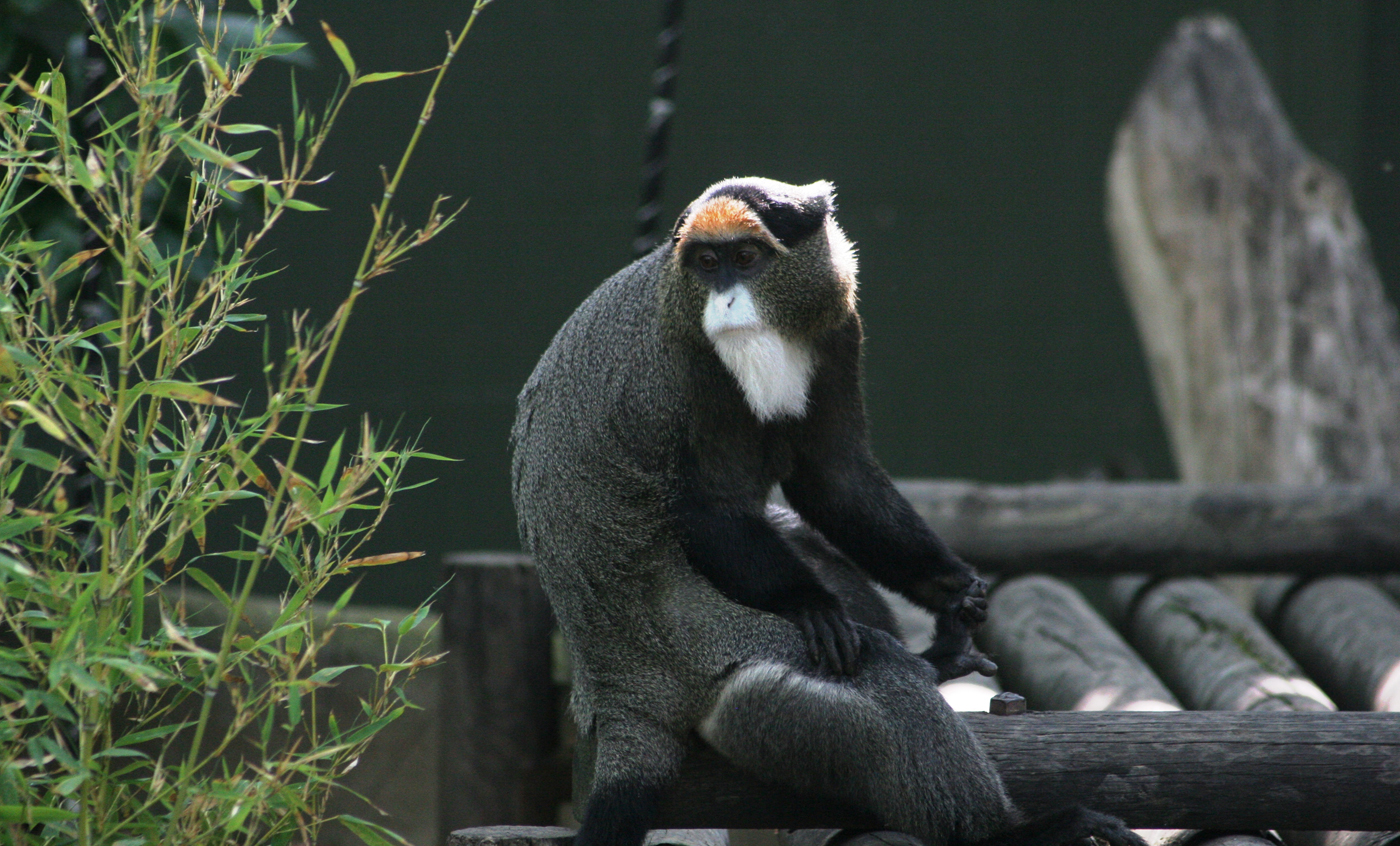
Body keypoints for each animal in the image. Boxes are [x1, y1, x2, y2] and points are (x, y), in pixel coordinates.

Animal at [509, 178, 1142, 846]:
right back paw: (1012, 830)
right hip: (702, 646)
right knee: (881, 683)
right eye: (707, 263)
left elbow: (834, 474)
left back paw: (937, 663)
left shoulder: (838, 328)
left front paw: (951, 587)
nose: (726, 300)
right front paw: (812, 605)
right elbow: (711, 508)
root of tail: (616, 687)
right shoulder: (688, 366)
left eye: (746, 259)